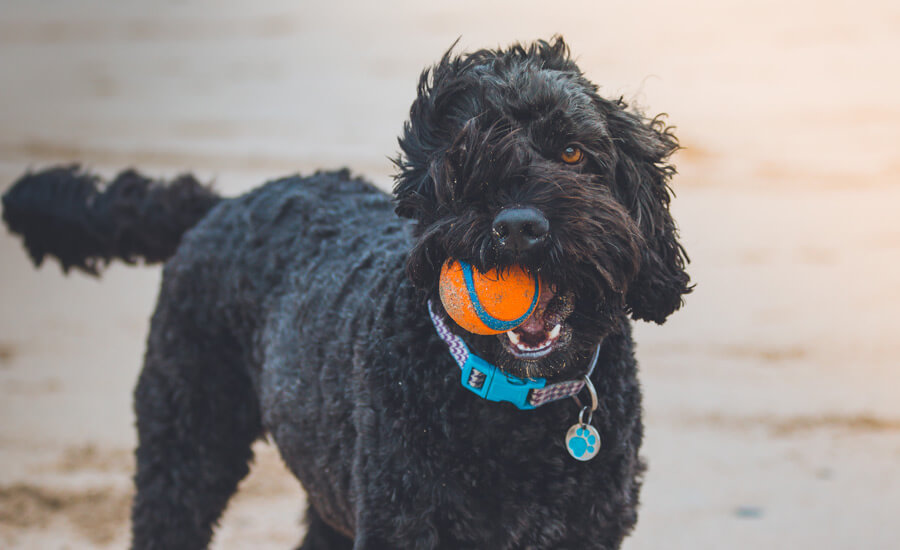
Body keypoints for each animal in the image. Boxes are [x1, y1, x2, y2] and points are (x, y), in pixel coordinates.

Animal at [3, 38, 688, 550]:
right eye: (462, 160)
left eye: (572, 152)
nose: (518, 226)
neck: (511, 404)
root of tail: (225, 202)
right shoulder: (402, 525)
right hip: (186, 440)